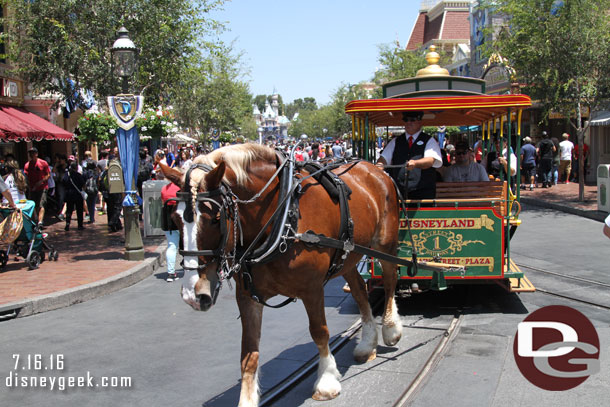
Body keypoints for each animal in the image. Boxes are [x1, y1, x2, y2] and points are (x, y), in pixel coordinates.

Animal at [159, 145, 402, 406]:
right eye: (174, 219)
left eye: (215, 220)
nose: (193, 295)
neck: (283, 216)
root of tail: (374, 168)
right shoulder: (247, 296)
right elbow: (248, 352)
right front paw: (247, 400)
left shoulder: (312, 288)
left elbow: (319, 332)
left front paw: (326, 381)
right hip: (348, 256)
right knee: (358, 289)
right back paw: (367, 344)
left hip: (385, 246)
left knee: (390, 282)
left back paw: (391, 330)